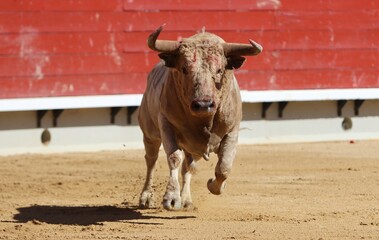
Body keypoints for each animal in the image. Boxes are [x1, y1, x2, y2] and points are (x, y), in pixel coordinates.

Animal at [138, 24, 262, 210]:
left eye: (219, 70)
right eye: (184, 69)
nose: (203, 105)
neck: (203, 121)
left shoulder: (232, 131)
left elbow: (224, 166)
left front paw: (214, 185)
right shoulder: (166, 123)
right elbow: (173, 157)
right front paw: (171, 198)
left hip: (193, 148)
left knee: (188, 167)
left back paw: (186, 199)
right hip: (150, 134)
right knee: (151, 160)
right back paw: (146, 197)